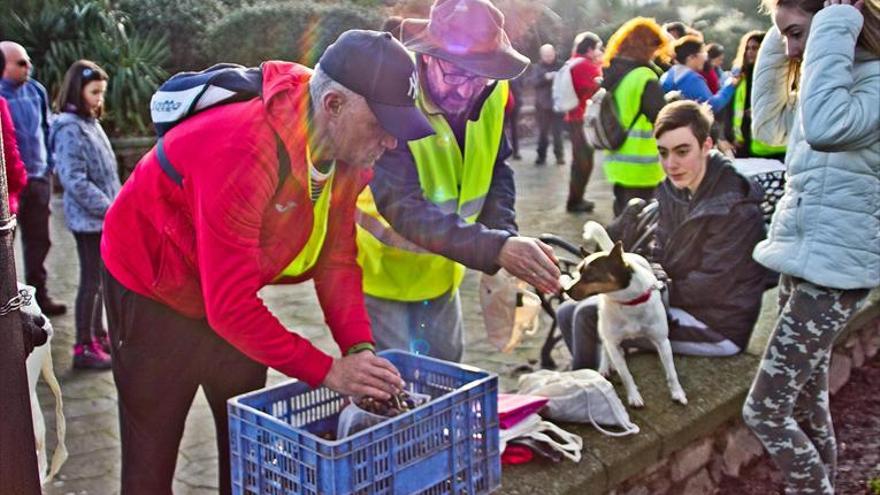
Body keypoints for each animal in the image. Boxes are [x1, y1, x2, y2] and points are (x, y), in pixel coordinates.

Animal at [564, 223, 688, 408]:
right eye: (578, 272)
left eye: (590, 275)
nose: (565, 290)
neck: (628, 302)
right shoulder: (613, 343)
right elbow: (625, 374)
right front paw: (633, 396)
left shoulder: (662, 341)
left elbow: (671, 371)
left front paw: (678, 393)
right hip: (604, 327)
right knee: (605, 345)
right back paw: (604, 366)